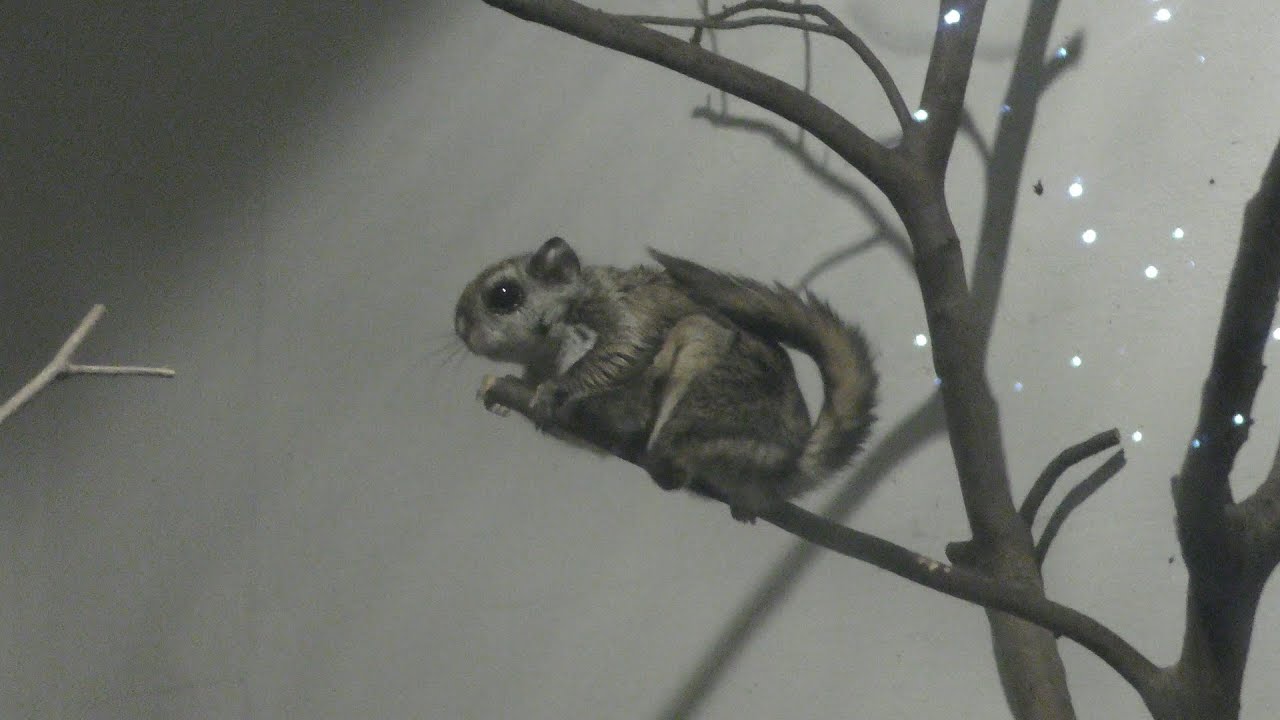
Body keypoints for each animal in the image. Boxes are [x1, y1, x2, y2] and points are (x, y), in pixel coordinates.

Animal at [454, 237, 877, 522]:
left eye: (504, 294)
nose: (460, 330)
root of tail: (792, 464)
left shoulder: (621, 313)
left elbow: (620, 352)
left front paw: (555, 390)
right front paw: (497, 391)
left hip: (706, 376)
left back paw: (666, 455)